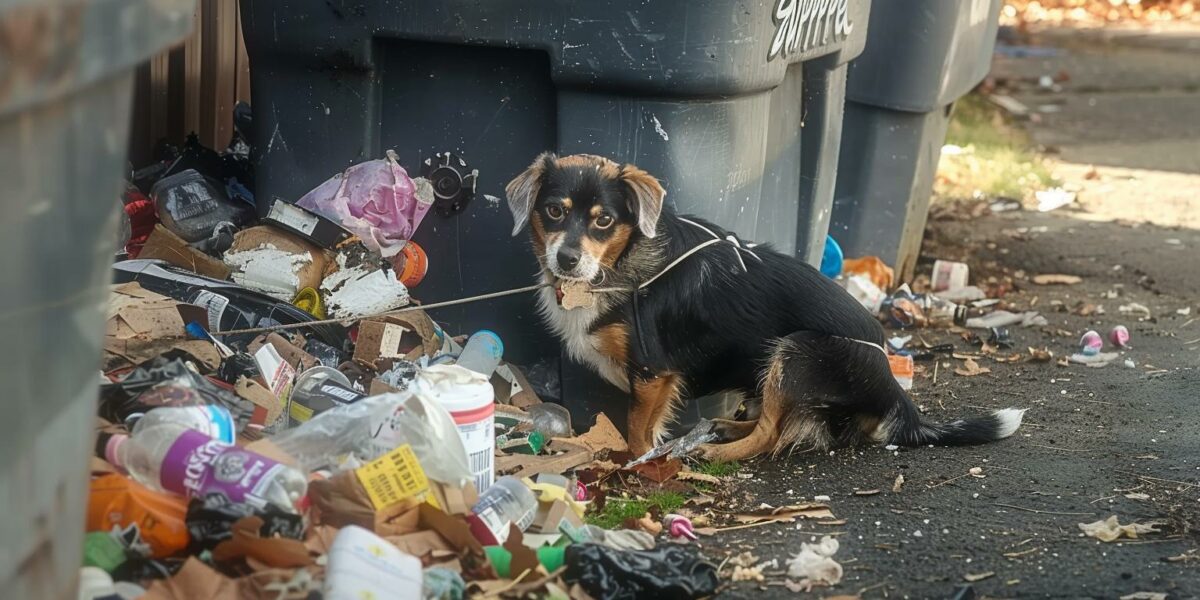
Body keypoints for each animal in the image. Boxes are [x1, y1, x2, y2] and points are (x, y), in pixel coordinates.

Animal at [506, 152, 1022, 460]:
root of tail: (895, 391)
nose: (566, 259)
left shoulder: (653, 372)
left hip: (798, 352)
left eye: (604, 221)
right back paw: (724, 427)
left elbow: (637, 428)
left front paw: (636, 466)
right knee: (773, 419)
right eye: (553, 211)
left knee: (773, 433)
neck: (617, 265)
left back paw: (720, 451)